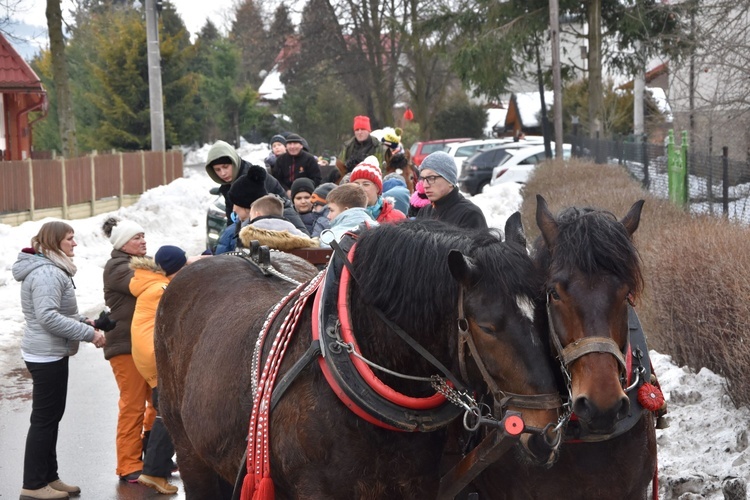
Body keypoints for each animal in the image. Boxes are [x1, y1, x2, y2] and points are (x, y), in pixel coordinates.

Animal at [156, 219, 560, 500]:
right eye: (488, 327)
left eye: (547, 309)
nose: (547, 433)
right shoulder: (317, 490)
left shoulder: (416, 486)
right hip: (190, 452)